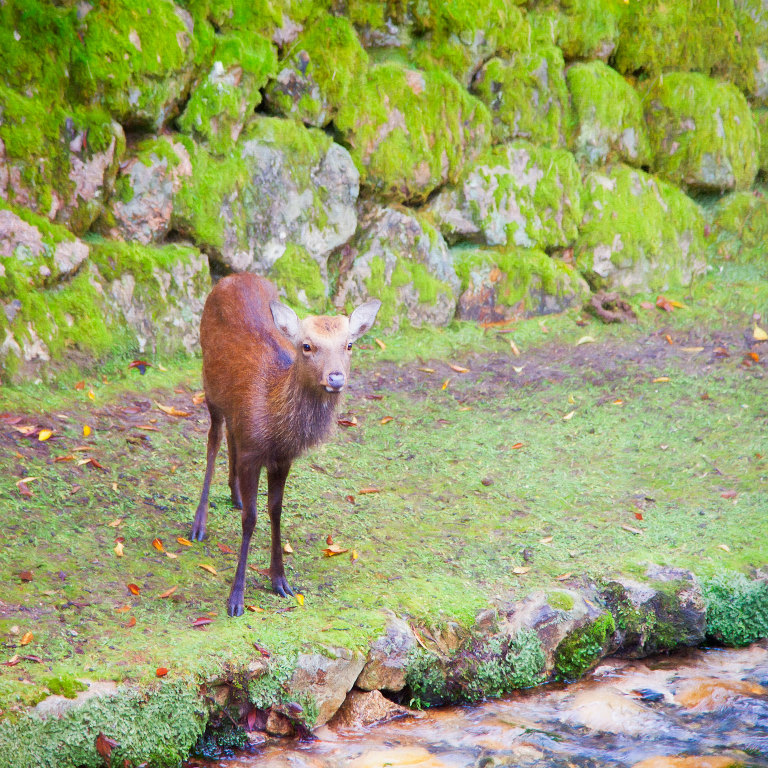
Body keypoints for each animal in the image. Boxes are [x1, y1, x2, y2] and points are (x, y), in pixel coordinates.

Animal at [191, 273, 381, 617]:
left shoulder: (282, 459)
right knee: (213, 439)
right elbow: (251, 519)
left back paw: (235, 495)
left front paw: (279, 580)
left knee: (230, 436)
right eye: (306, 345)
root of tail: (231, 277)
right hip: (208, 385)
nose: (335, 378)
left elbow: (275, 510)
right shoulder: (253, 454)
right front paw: (236, 598)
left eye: (349, 344)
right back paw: (199, 523)